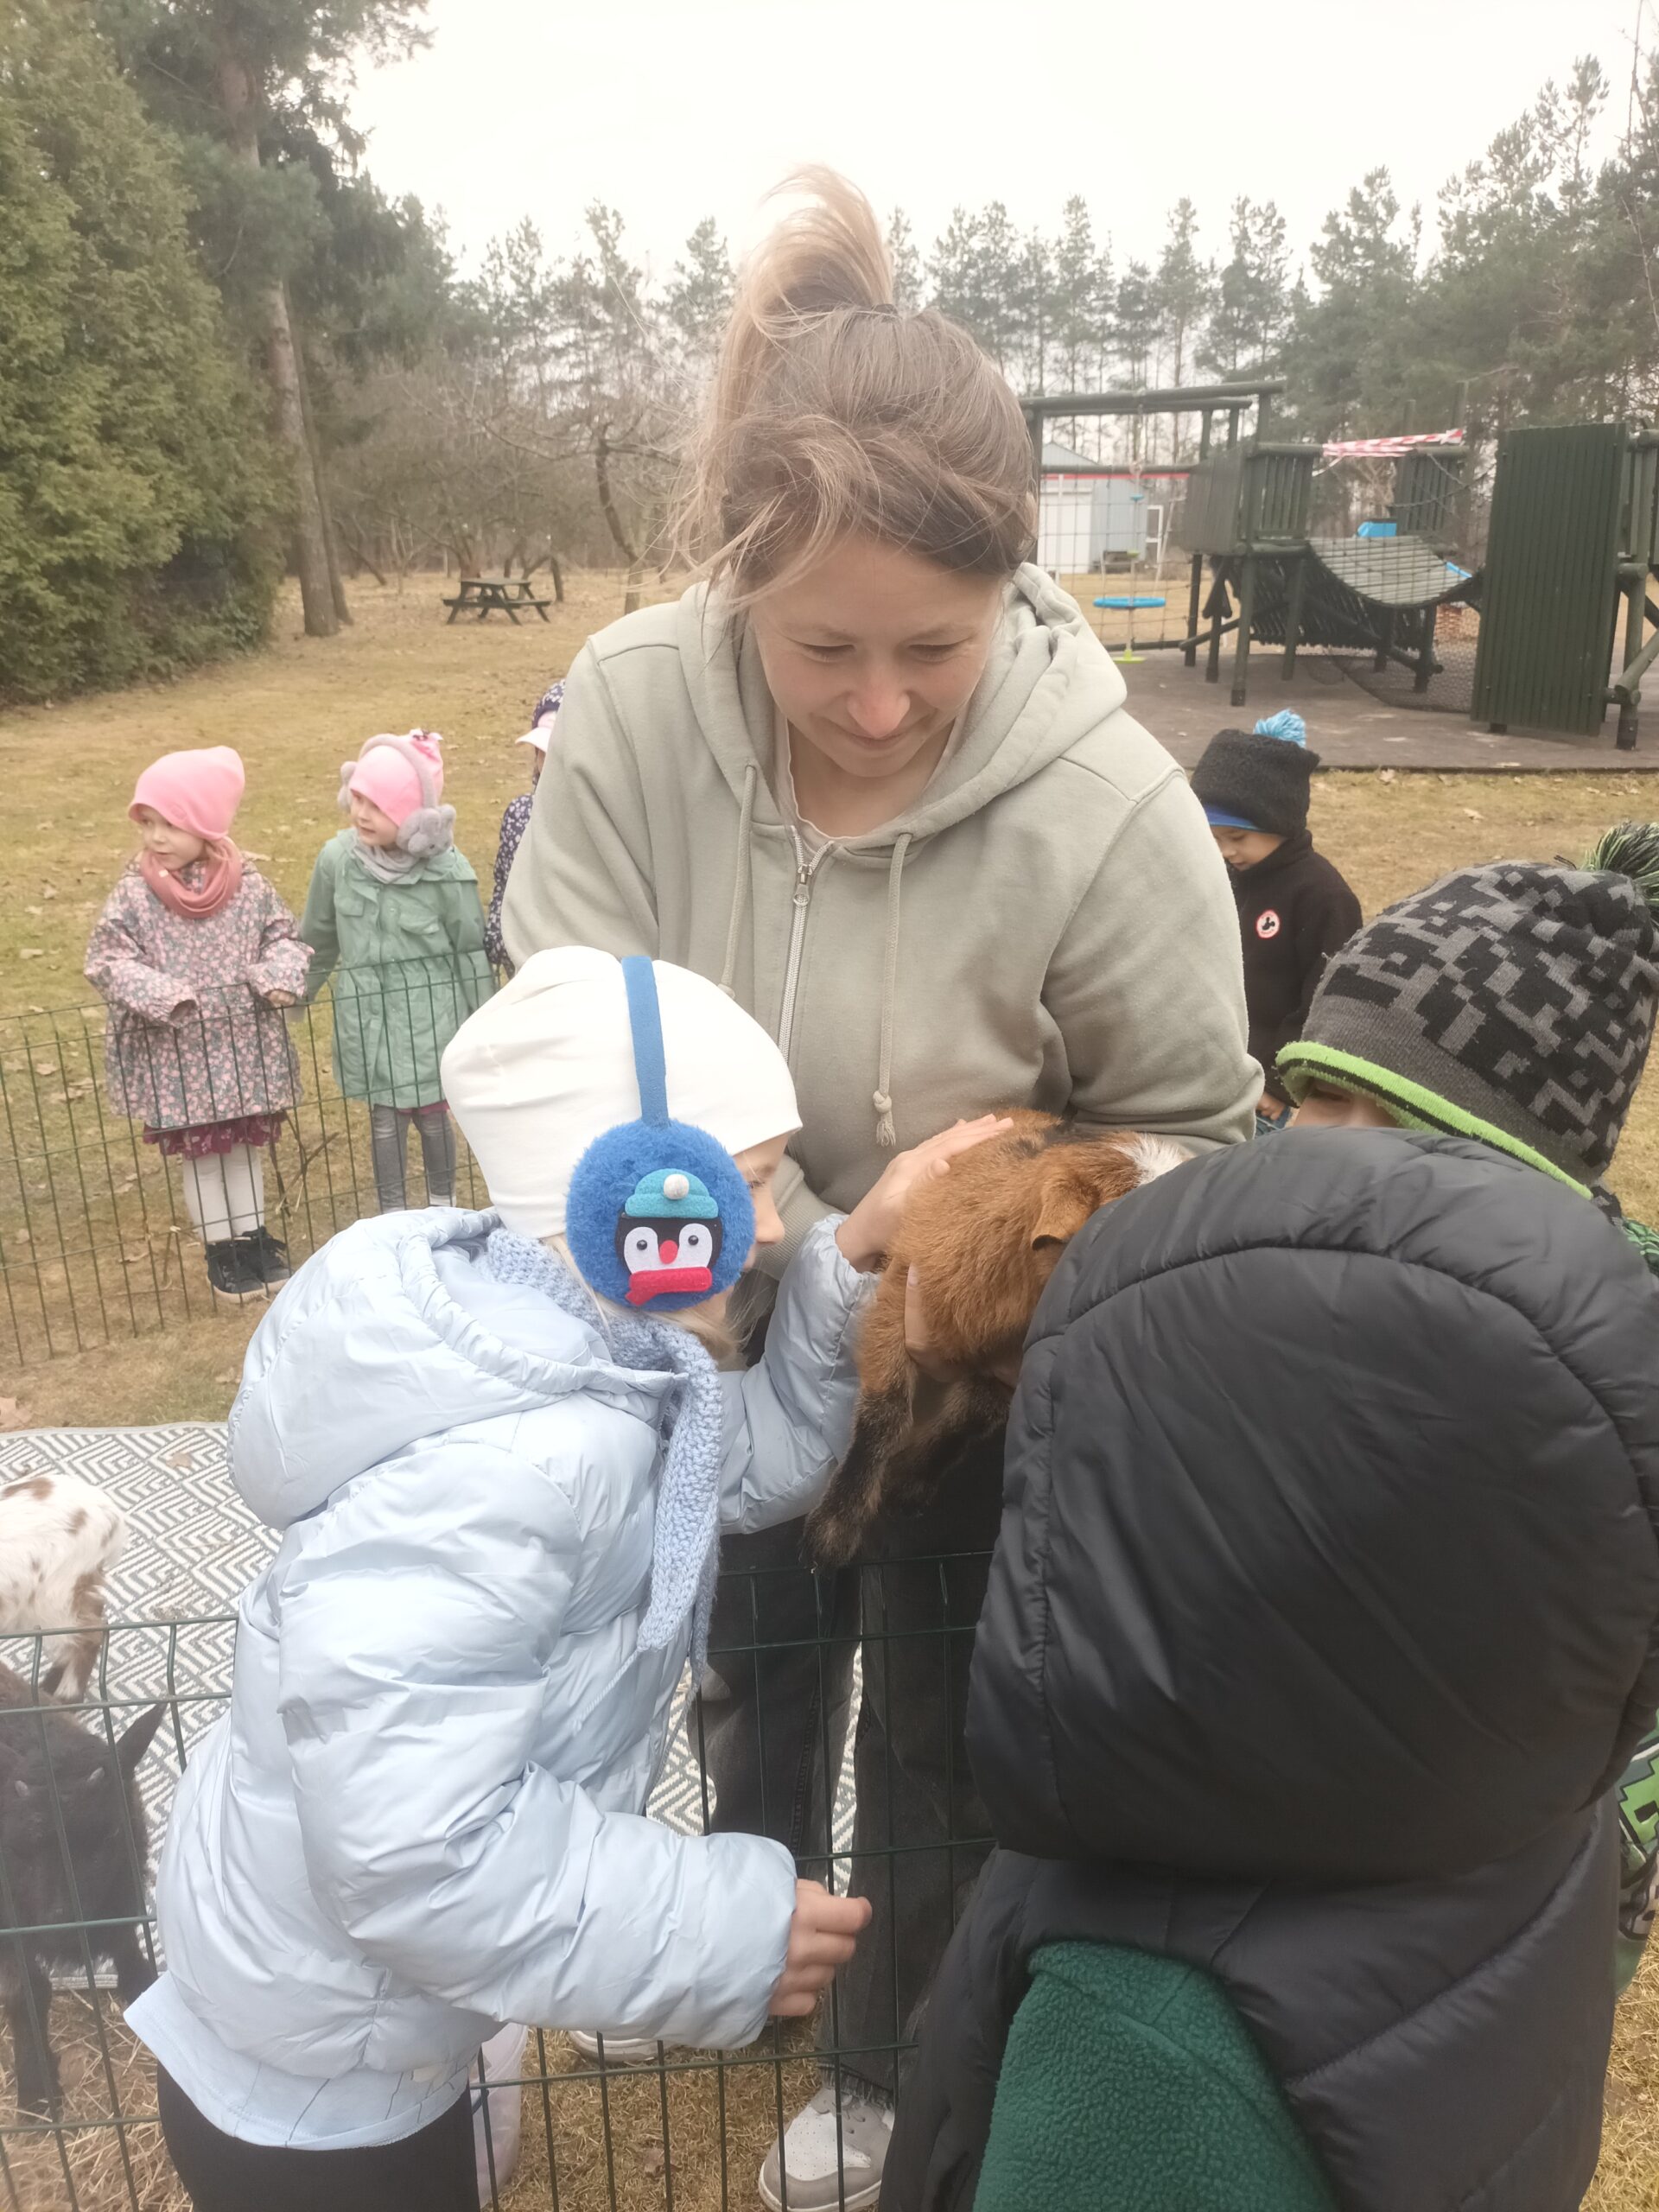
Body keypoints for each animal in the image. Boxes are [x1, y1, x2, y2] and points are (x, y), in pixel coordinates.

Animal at [805, 1112, 1187, 1566]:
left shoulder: (1006, 1365)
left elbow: (968, 1421)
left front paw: (909, 1485)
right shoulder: (898, 1298)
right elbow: (885, 1415)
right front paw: (832, 1531)